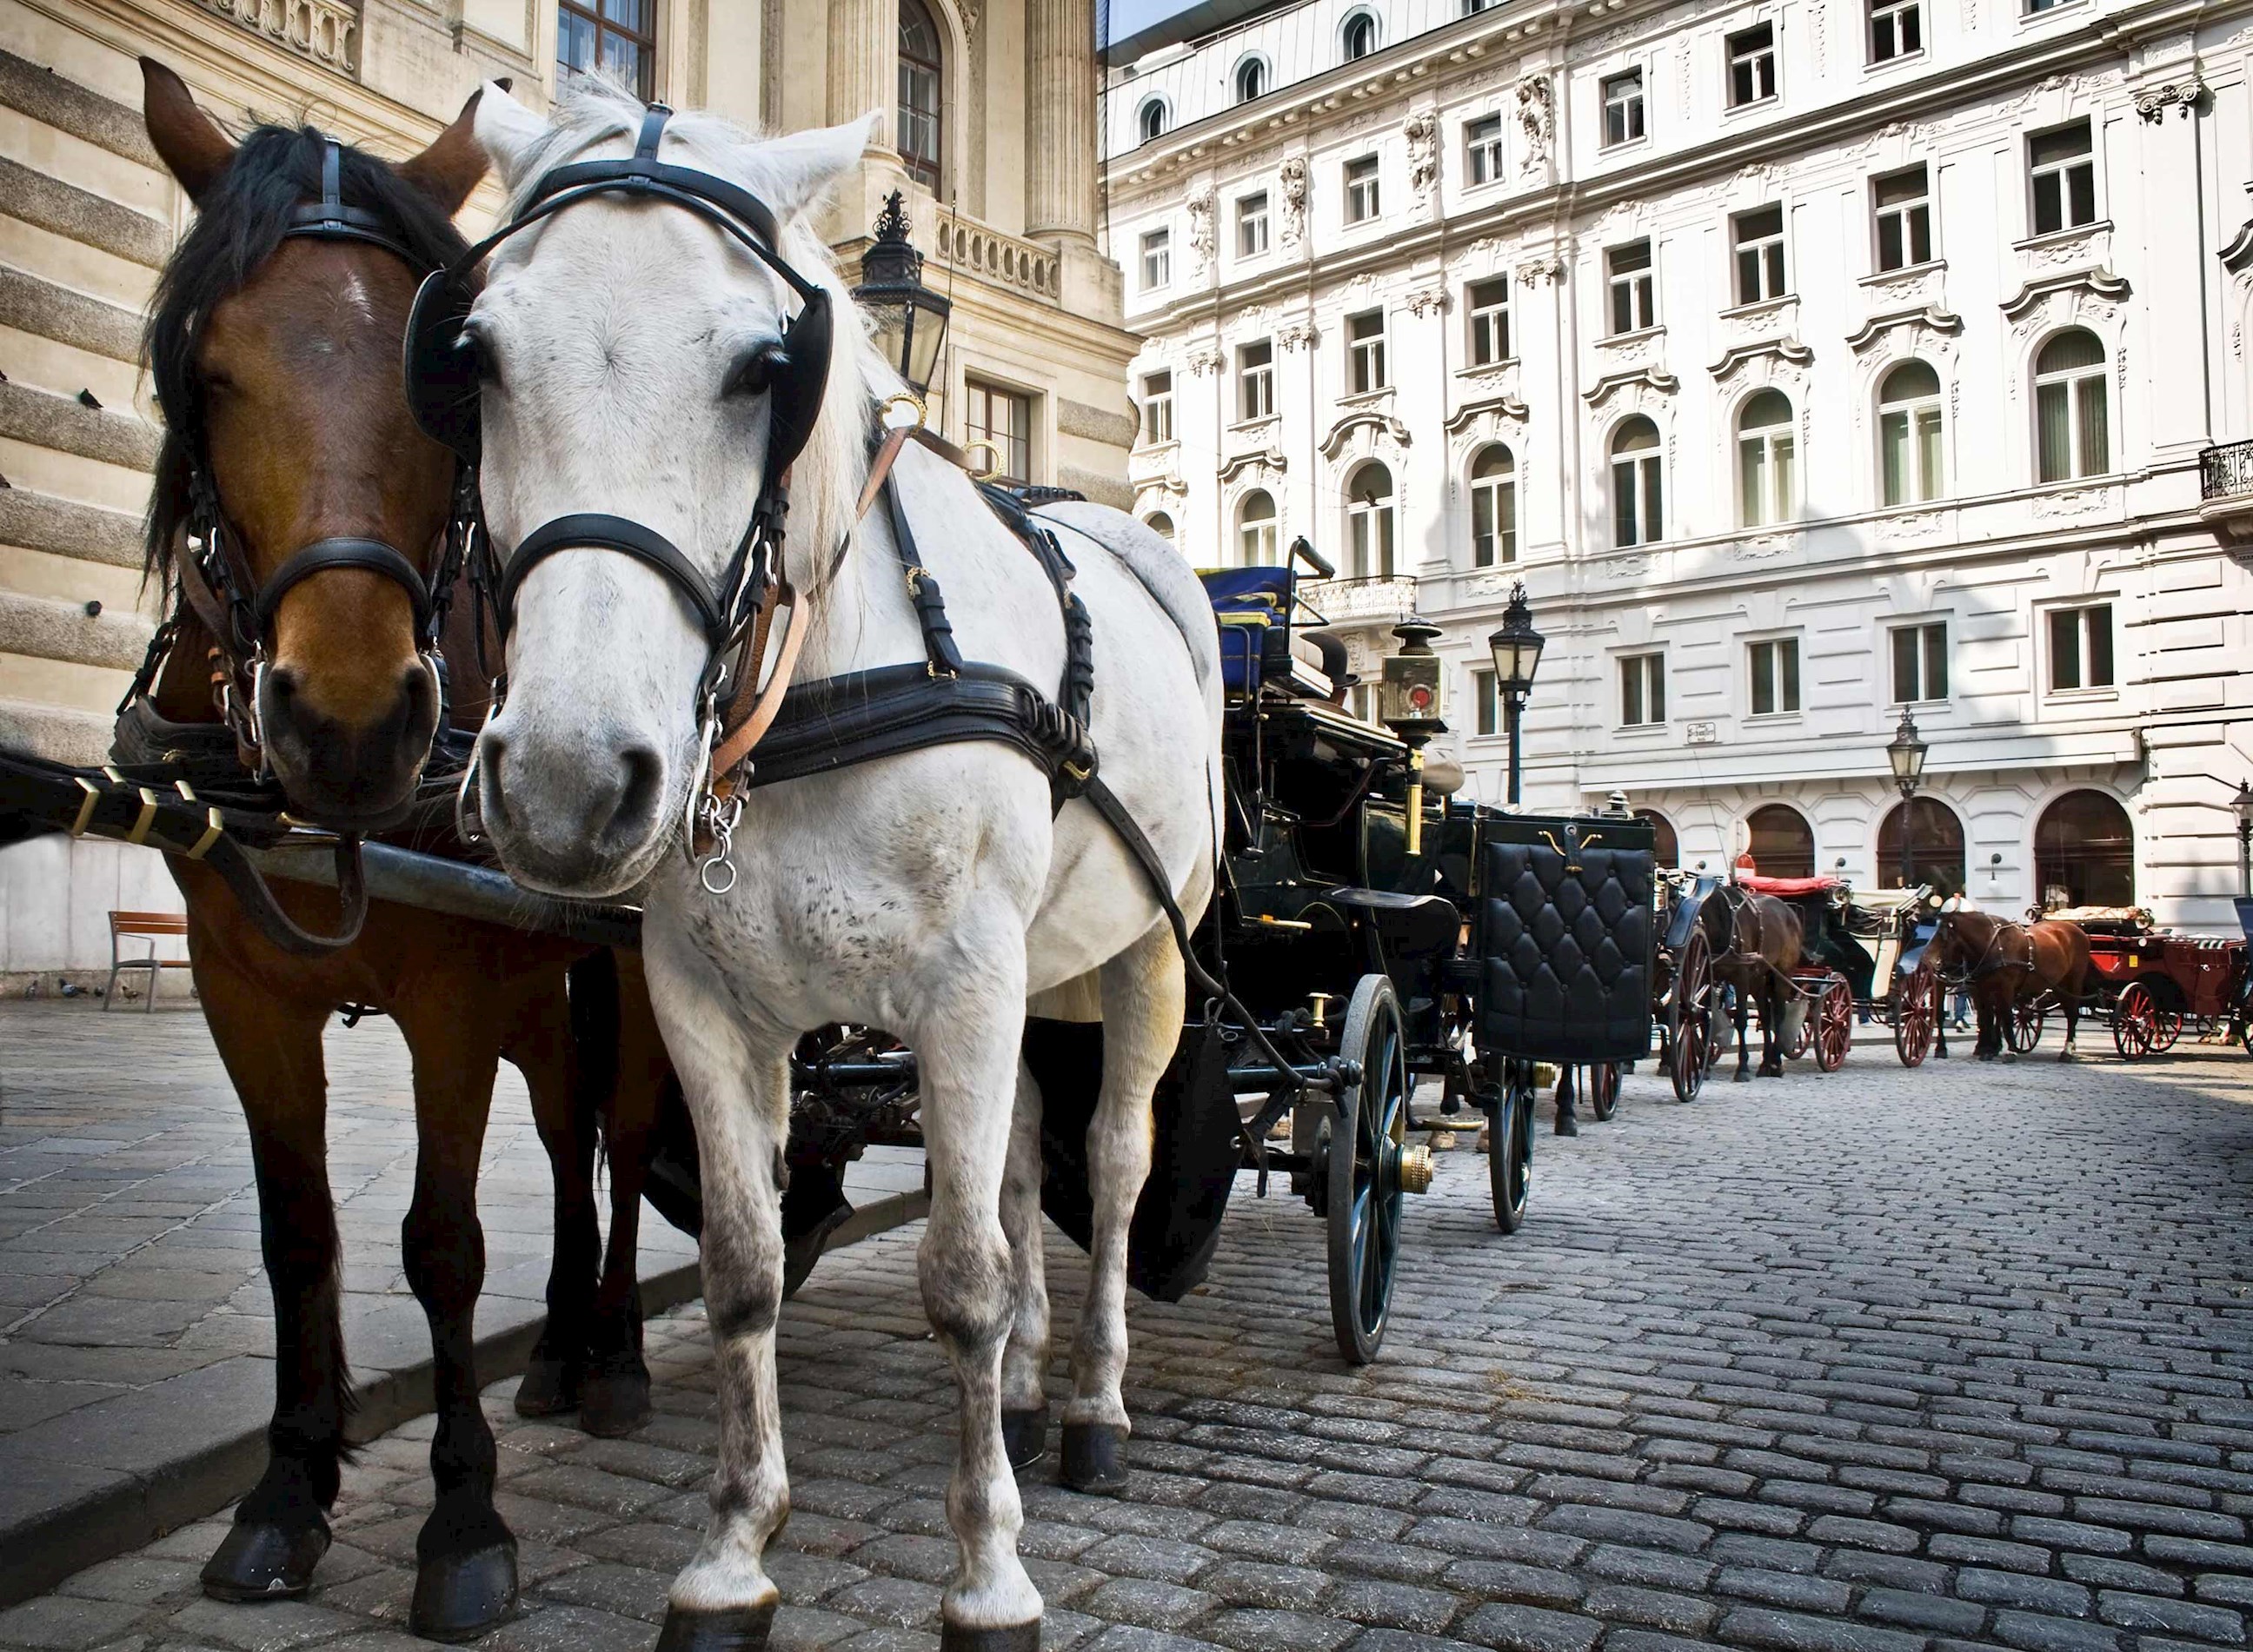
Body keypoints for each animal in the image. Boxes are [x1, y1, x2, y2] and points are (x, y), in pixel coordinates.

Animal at [133, 62, 675, 1640]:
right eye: (208, 371)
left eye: (446, 385)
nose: (354, 715)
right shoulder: (239, 988)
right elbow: (299, 1234)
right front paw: (286, 1485)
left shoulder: (449, 993)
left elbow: (442, 1242)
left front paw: (463, 1518)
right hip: (543, 984)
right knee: (566, 1137)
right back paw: (559, 1350)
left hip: (613, 972)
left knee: (622, 1135)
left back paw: (616, 1356)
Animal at [454, 81, 1223, 1651]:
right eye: (478, 355)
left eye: (768, 367)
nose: (567, 779)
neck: (828, 679)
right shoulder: (704, 1002)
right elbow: (746, 1270)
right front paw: (733, 1550)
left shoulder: (965, 986)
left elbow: (960, 1278)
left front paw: (987, 1572)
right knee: (1025, 1162)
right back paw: (1038, 1382)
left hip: (1142, 958)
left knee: (1112, 1166)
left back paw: (1095, 1403)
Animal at [1704, 884, 1807, 1079]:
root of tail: (1789, 911)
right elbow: (1703, 1019)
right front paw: (1703, 1068)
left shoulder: (1741, 977)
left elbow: (1741, 1019)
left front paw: (1742, 1067)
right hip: (1759, 978)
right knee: (1765, 1015)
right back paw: (1766, 1064)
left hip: (1782, 974)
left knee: (1779, 1014)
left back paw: (1776, 1062)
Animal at [1927, 907, 2092, 1059]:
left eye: (1943, 937)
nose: (1927, 961)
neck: (1993, 945)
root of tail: (2077, 930)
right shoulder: (1982, 987)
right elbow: (1986, 1017)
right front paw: (1986, 1050)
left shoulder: (2005, 986)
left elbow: (2006, 1016)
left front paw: (2010, 1051)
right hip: (2057, 984)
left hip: (2073, 982)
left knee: (2072, 1014)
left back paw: (2067, 1050)